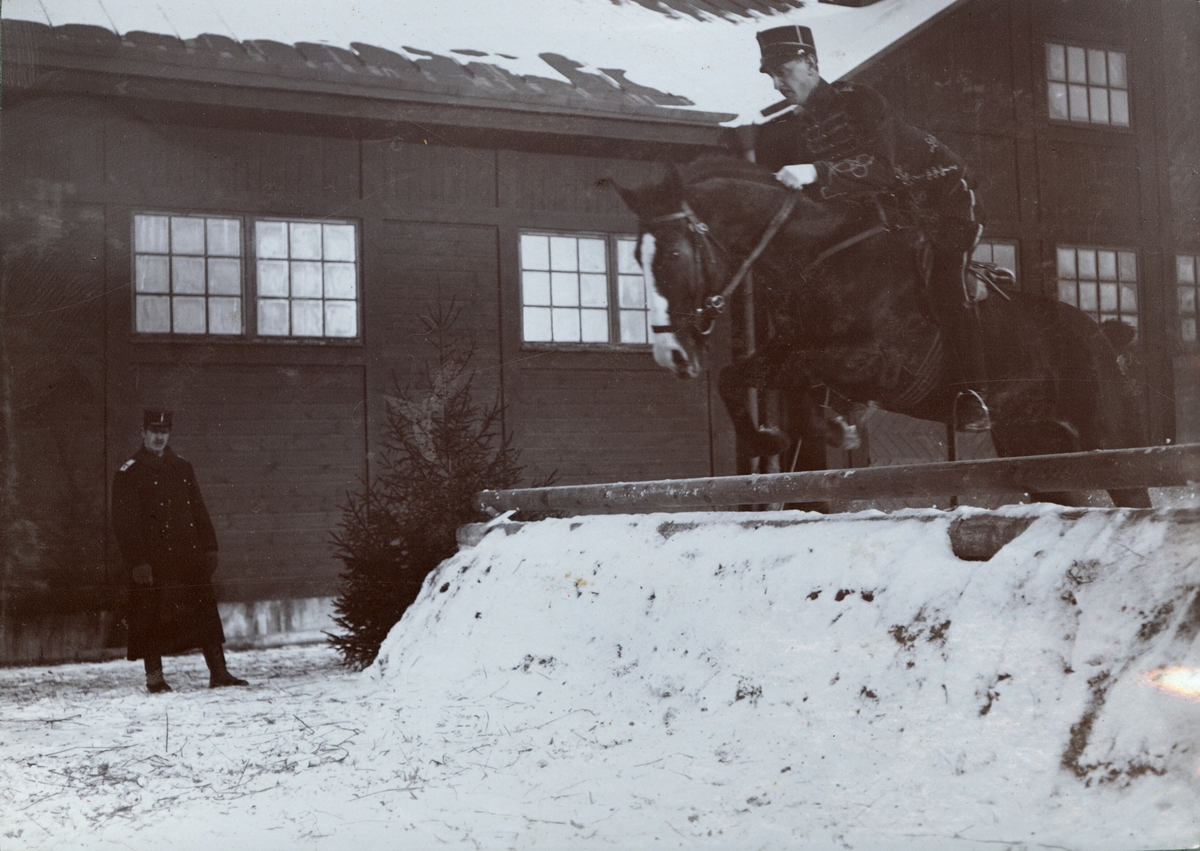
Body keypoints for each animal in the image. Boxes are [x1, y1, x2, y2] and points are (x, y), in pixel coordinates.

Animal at [611, 157, 1152, 509]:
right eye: (636, 256)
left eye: (674, 254)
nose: (671, 354)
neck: (820, 260)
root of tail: (1103, 336)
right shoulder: (786, 350)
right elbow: (734, 376)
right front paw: (768, 439)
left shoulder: (883, 366)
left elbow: (808, 374)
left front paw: (835, 426)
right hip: (1036, 449)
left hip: (1109, 439)